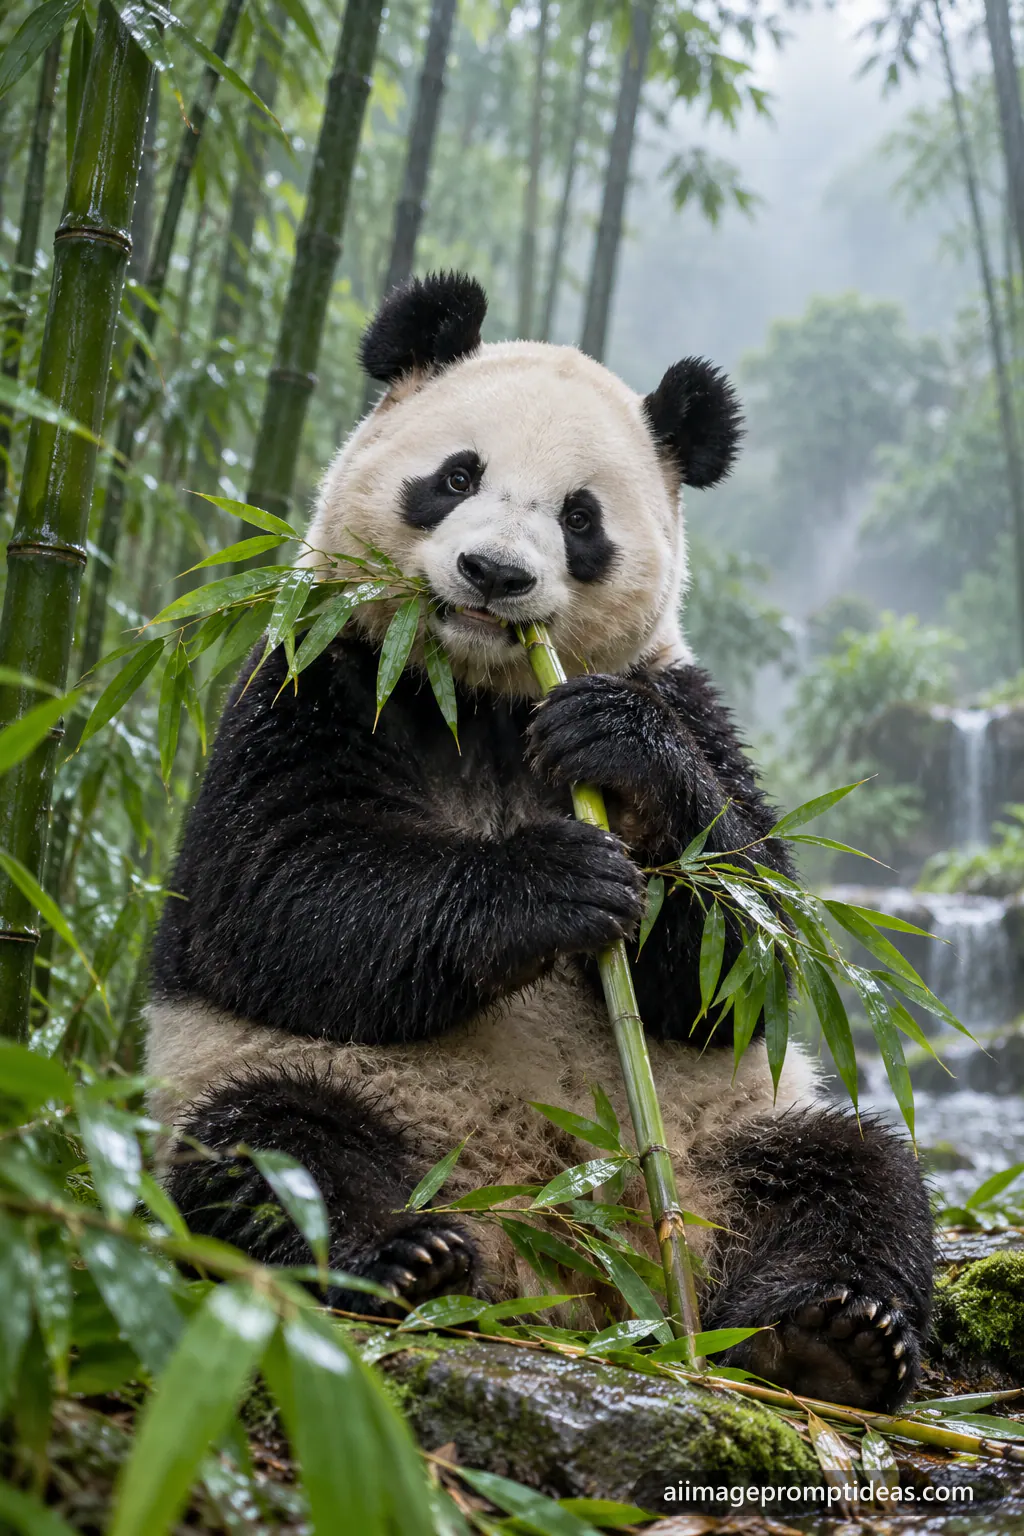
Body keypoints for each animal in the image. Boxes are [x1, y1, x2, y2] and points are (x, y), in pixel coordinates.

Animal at [147, 271, 933, 1413]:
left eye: (579, 517)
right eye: (455, 475)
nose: (493, 574)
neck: (479, 694)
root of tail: (574, 1274)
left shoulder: (685, 697)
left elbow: (752, 950)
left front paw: (623, 759)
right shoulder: (317, 670)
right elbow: (272, 896)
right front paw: (557, 882)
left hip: (724, 1144)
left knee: (856, 1175)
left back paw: (831, 1336)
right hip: (292, 1084)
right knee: (272, 1154)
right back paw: (401, 1261)